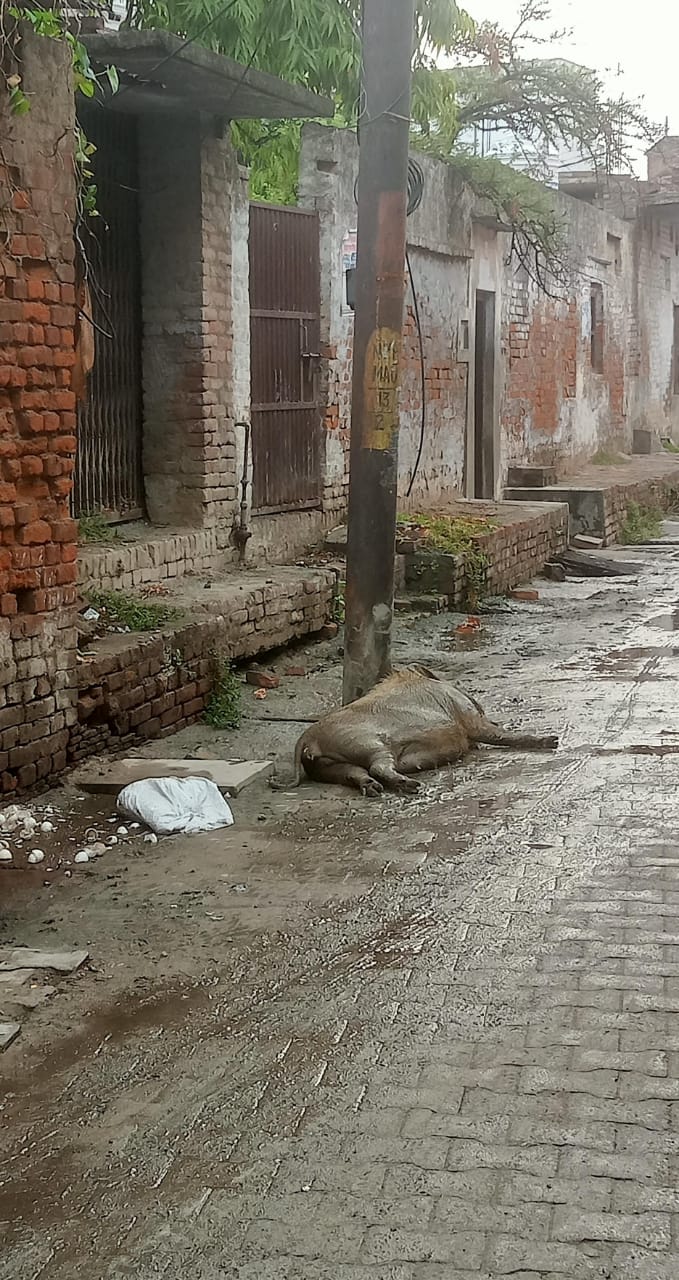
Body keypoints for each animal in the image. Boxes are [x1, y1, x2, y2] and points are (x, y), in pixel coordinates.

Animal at [272, 665, 558, 797]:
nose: (555, 739)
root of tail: (308, 738)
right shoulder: (468, 717)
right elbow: (498, 734)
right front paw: (553, 740)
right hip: (367, 743)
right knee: (378, 766)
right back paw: (412, 786)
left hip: (328, 766)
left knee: (355, 773)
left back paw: (374, 789)